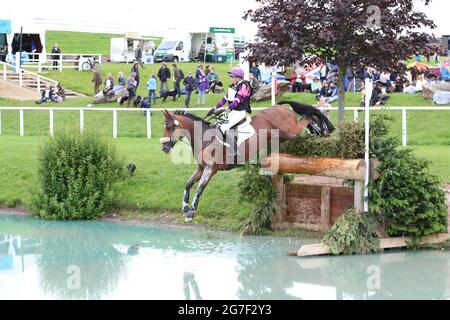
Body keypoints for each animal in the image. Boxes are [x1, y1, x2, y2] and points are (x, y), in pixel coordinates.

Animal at [161, 102, 334, 220]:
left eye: (169, 127)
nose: (164, 147)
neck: (205, 139)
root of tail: (281, 107)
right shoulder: (201, 168)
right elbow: (188, 185)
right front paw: (185, 208)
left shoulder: (210, 169)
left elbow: (199, 188)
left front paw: (192, 211)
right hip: (284, 136)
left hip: (291, 131)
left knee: (308, 117)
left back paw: (322, 130)